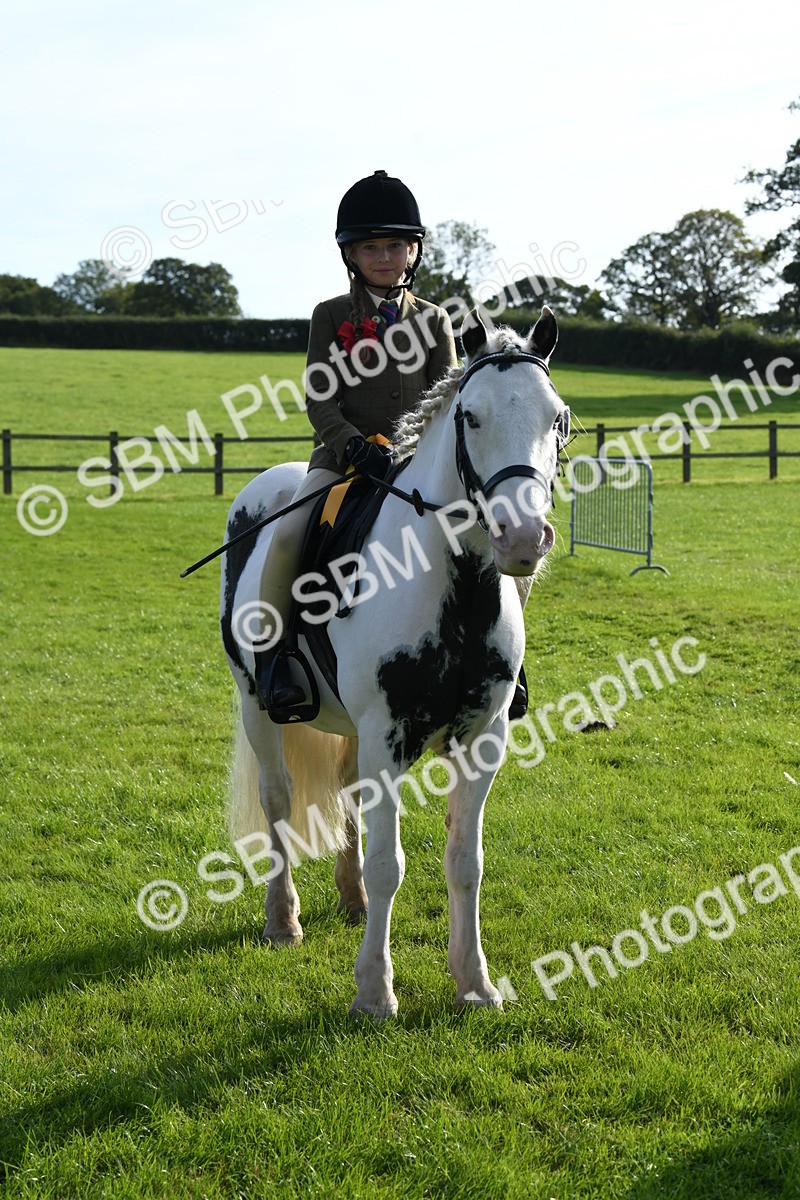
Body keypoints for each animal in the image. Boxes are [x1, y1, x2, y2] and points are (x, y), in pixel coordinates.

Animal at [219, 306, 569, 1018]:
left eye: (558, 418)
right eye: (471, 416)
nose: (521, 538)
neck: (455, 585)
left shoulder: (480, 740)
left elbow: (466, 863)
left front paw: (475, 983)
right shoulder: (388, 735)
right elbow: (390, 864)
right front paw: (375, 993)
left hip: (355, 732)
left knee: (348, 799)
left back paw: (351, 902)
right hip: (256, 704)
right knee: (278, 800)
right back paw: (283, 920)